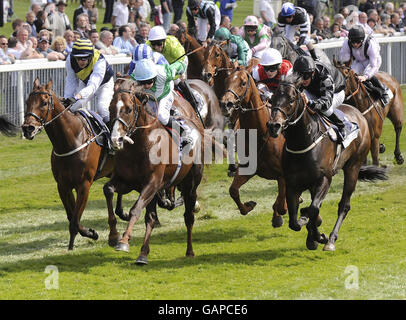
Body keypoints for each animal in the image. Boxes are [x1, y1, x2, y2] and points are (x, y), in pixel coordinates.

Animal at [22, 77, 121, 250]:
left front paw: (72, 244)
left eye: (44, 103)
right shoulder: (63, 185)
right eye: (27, 101)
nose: (27, 128)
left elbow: (75, 219)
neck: (71, 140)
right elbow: (72, 215)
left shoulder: (84, 185)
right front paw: (90, 233)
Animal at [104, 79, 205, 264]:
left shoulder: (152, 183)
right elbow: (108, 190)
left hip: (190, 184)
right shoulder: (128, 182)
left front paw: (123, 241)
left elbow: (135, 209)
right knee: (150, 218)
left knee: (188, 216)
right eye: (110, 107)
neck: (140, 145)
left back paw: (189, 250)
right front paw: (113, 236)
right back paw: (143, 254)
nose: (115, 139)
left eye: (128, 109)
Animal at [220, 66, 288, 228]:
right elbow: (233, 191)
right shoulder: (247, 168)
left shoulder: (282, 175)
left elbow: (281, 204)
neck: (260, 134)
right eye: (226, 81)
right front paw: (249, 205)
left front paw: (278, 216)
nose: (226, 104)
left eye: (243, 83)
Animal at [268, 74, 388, 251]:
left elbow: (312, 209)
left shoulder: (324, 179)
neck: (302, 142)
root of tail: (359, 114)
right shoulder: (292, 184)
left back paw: (331, 239)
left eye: (291, 100)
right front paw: (311, 232)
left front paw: (318, 236)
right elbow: (294, 222)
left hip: (353, 167)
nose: (273, 126)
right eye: (272, 99)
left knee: (344, 205)